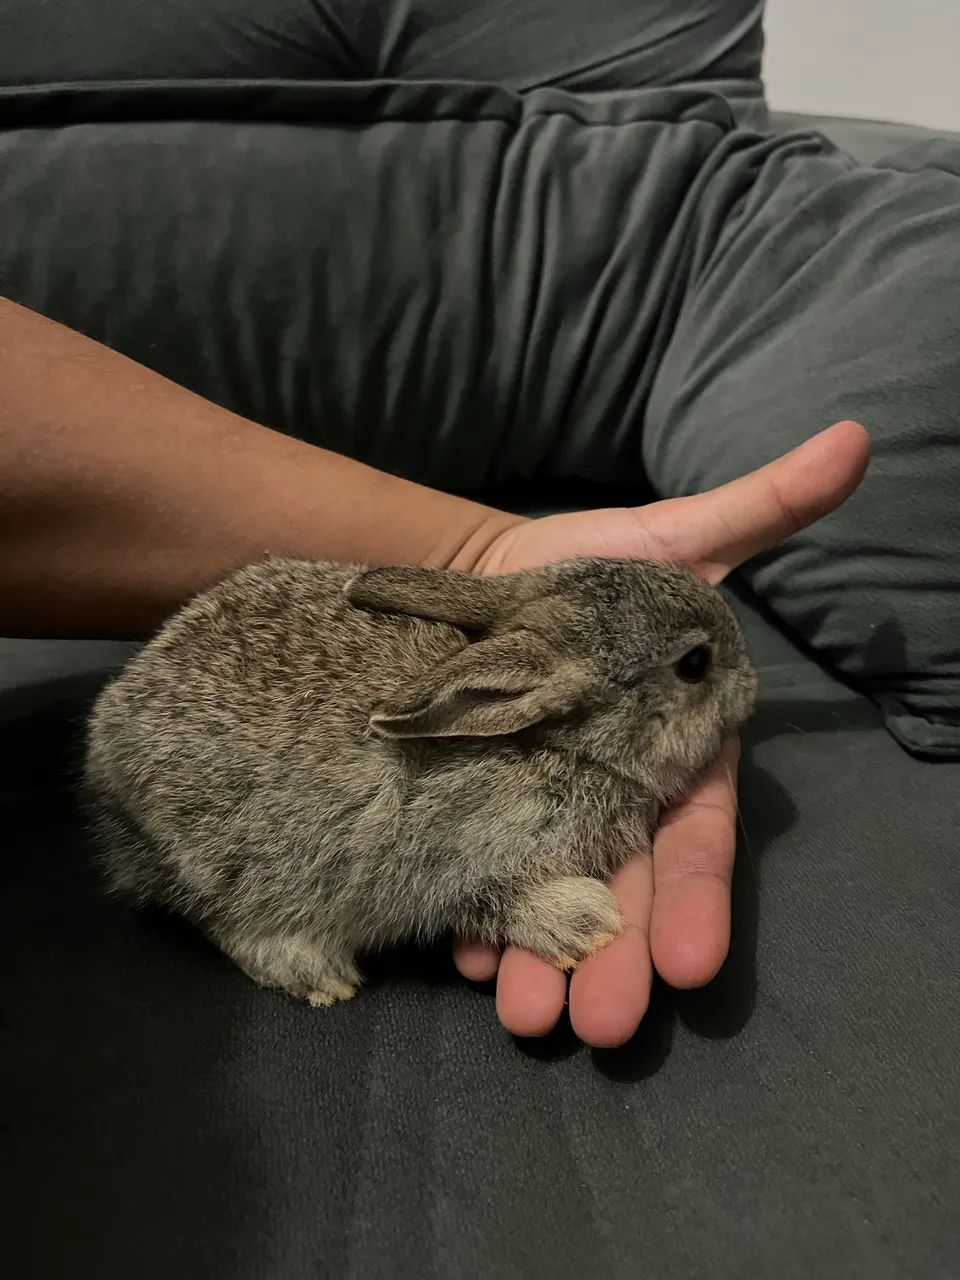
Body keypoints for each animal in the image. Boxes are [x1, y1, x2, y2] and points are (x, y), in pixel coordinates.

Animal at [84, 556, 757, 1007]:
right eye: (695, 665)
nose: (752, 682)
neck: (562, 742)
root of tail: (100, 758)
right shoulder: (443, 855)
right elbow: (485, 898)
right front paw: (587, 923)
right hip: (216, 865)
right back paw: (317, 974)